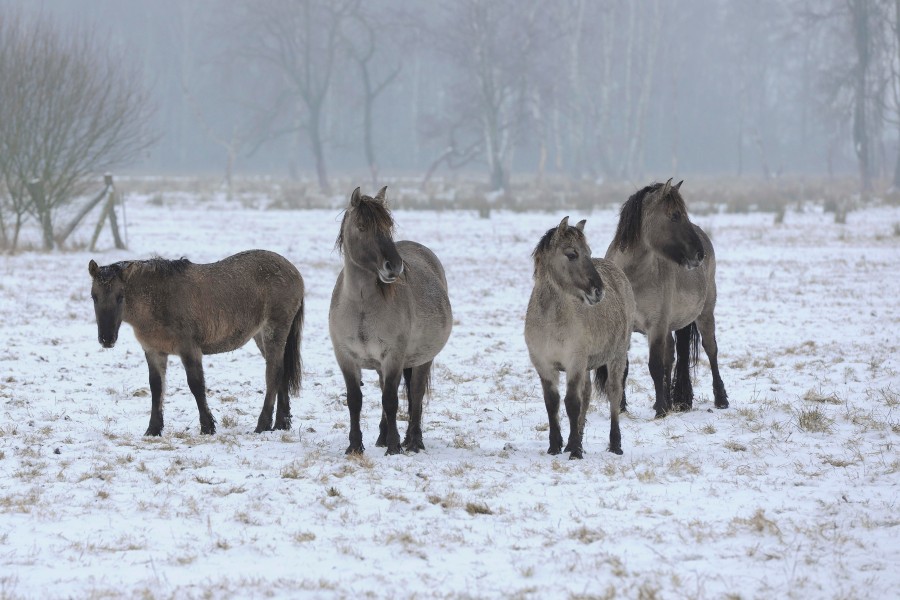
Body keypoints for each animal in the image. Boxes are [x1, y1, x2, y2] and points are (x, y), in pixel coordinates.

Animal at [88, 250, 306, 436]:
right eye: (94, 297)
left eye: (120, 296)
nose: (106, 339)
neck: (158, 299)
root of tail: (294, 271)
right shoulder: (154, 351)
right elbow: (156, 388)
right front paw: (153, 429)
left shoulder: (189, 349)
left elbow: (196, 385)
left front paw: (207, 426)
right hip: (261, 336)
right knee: (281, 372)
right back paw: (281, 424)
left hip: (274, 330)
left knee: (273, 373)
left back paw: (262, 425)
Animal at [328, 186, 454, 454]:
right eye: (362, 226)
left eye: (388, 227)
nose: (394, 266)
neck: (362, 306)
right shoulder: (346, 357)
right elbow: (355, 400)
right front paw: (355, 446)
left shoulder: (393, 357)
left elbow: (391, 400)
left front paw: (395, 447)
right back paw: (382, 437)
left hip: (422, 359)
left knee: (415, 395)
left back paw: (414, 441)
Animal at [524, 218, 636, 458]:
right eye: (572, 254)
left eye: (588, 252)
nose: (598, 290)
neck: (551, 321)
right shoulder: (544, 365)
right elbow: (553, 403)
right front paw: (556, 446)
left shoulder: (574, 363)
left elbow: (572, 403)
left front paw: (575, 450)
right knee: (587, 395)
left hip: (617, 356)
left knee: (614, 393)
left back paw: (615, 445)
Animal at [600, 179, 728, 418]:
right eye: (675, 215)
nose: (699, 254)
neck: (632, 277)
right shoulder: (626, 328)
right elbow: (624, 367)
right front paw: (621, 407)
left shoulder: (656, 326)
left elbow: (655, 366)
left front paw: (660, 410)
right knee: (672, 356)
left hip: (705, 314)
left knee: (710, 349)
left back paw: (720, 399)